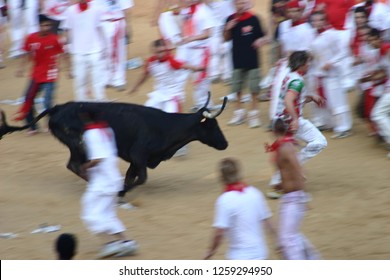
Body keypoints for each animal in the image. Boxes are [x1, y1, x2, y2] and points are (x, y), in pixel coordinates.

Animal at [0, 98, 229, 199]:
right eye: (212, 125)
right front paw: (120, 192)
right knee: (75, 165)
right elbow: (141, 179)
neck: (164, 126)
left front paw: (121, 190)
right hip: (79, 145)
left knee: (76, 165)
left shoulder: (135, 161)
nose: (225, 144)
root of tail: (59, 107)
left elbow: (130, 177)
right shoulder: (139, 156)